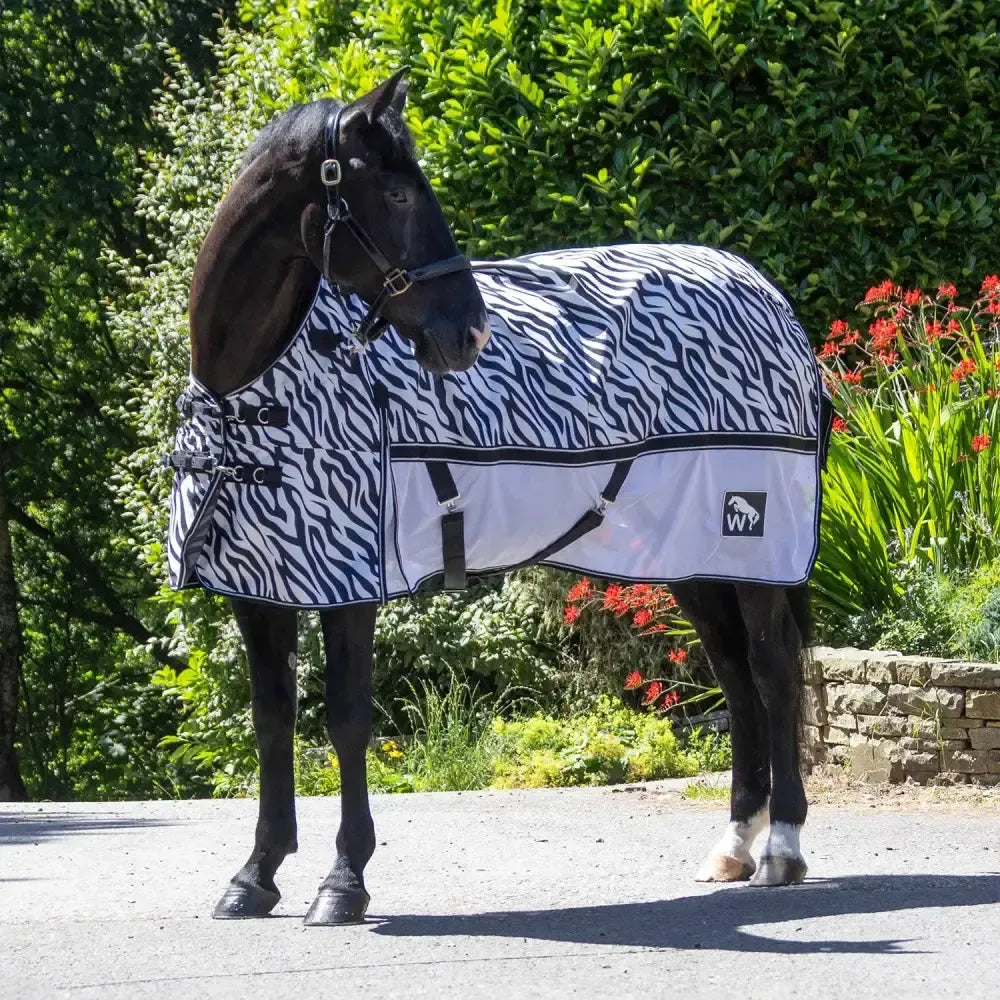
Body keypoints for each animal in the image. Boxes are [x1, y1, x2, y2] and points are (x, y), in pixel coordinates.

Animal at [171, 70, 827, 926]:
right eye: (397, 192)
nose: (469, 335)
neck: (251, 396)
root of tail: (766, 295)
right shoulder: (256, 587)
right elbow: (272, 719)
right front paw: (255, 875)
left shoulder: (350, 586)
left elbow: (346, 719)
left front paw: (343, 881)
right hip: (696, 555)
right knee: (733, 671)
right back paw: (733, 846)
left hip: (753, 541)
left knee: (772, 669)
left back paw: (781, 847)